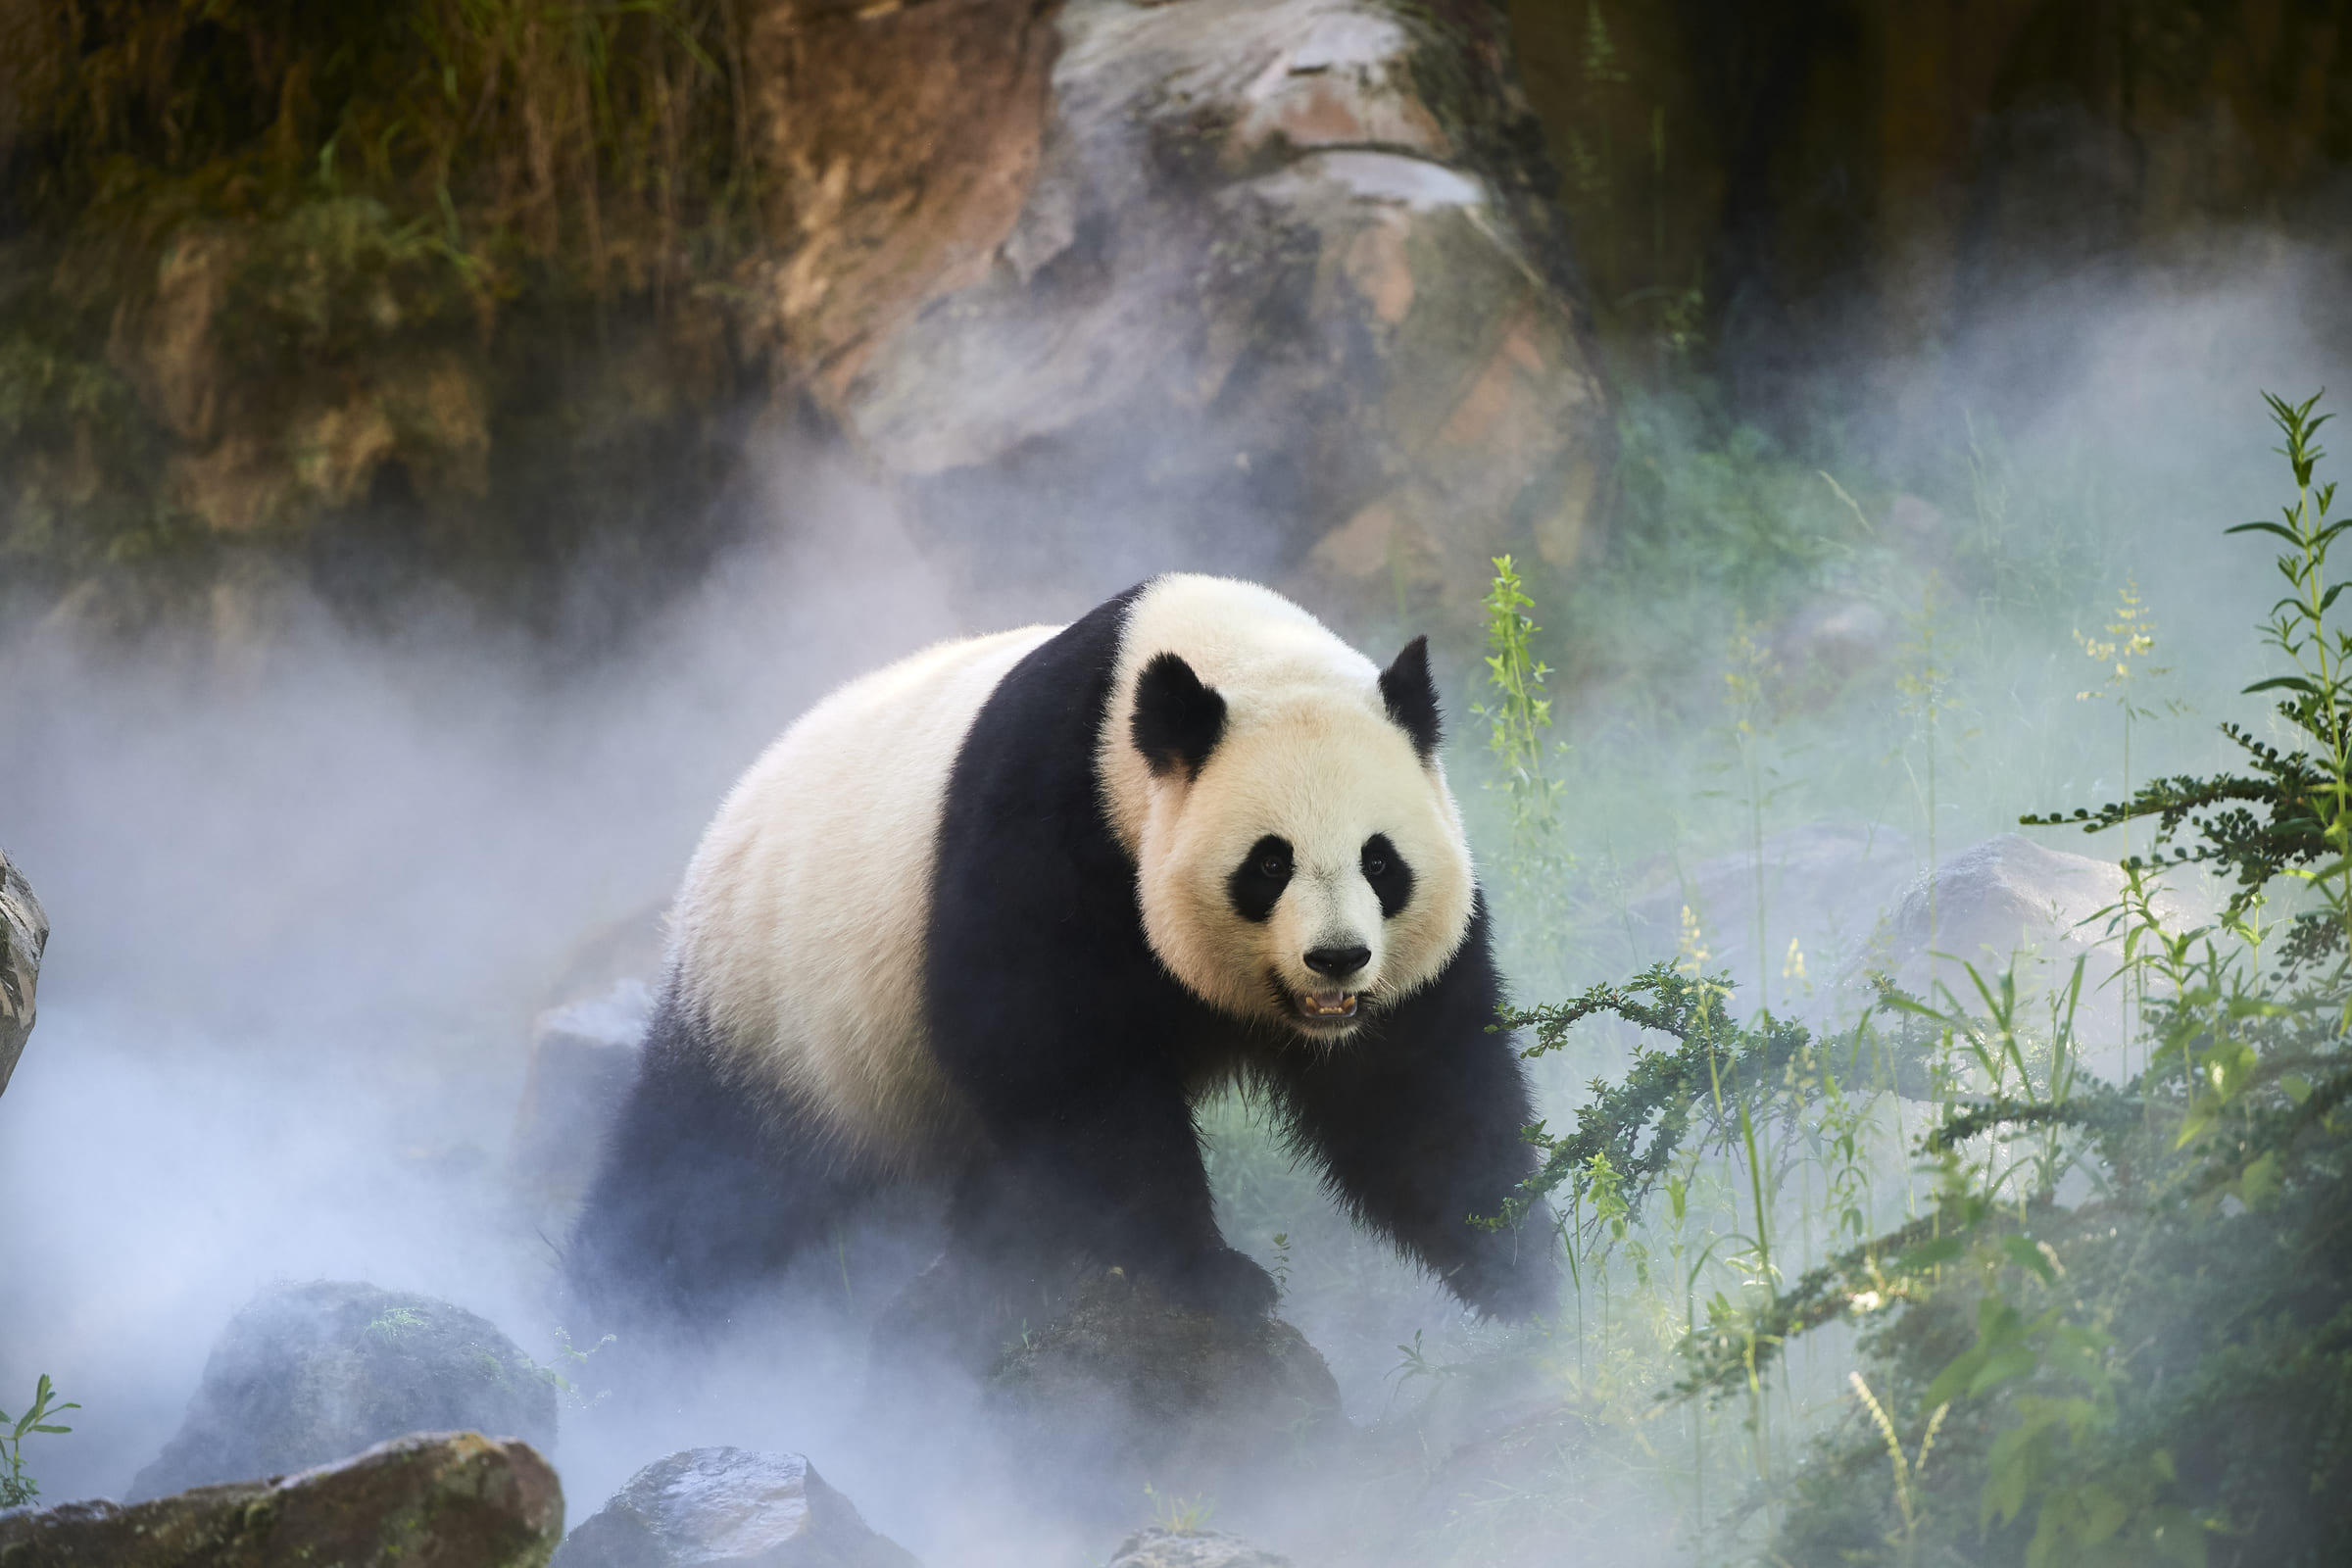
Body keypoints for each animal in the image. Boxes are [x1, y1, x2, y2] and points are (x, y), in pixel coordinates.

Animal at [566, 573, 1552, 1325]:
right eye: (1268, 864)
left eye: (1380, 861)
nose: (1338, 959)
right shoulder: (1046, 832)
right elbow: (1067, 1071)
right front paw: (1213, 1275)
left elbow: (1416, 1092)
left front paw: (1518, 1266)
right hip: (775, 1014)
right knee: (701, 1175)